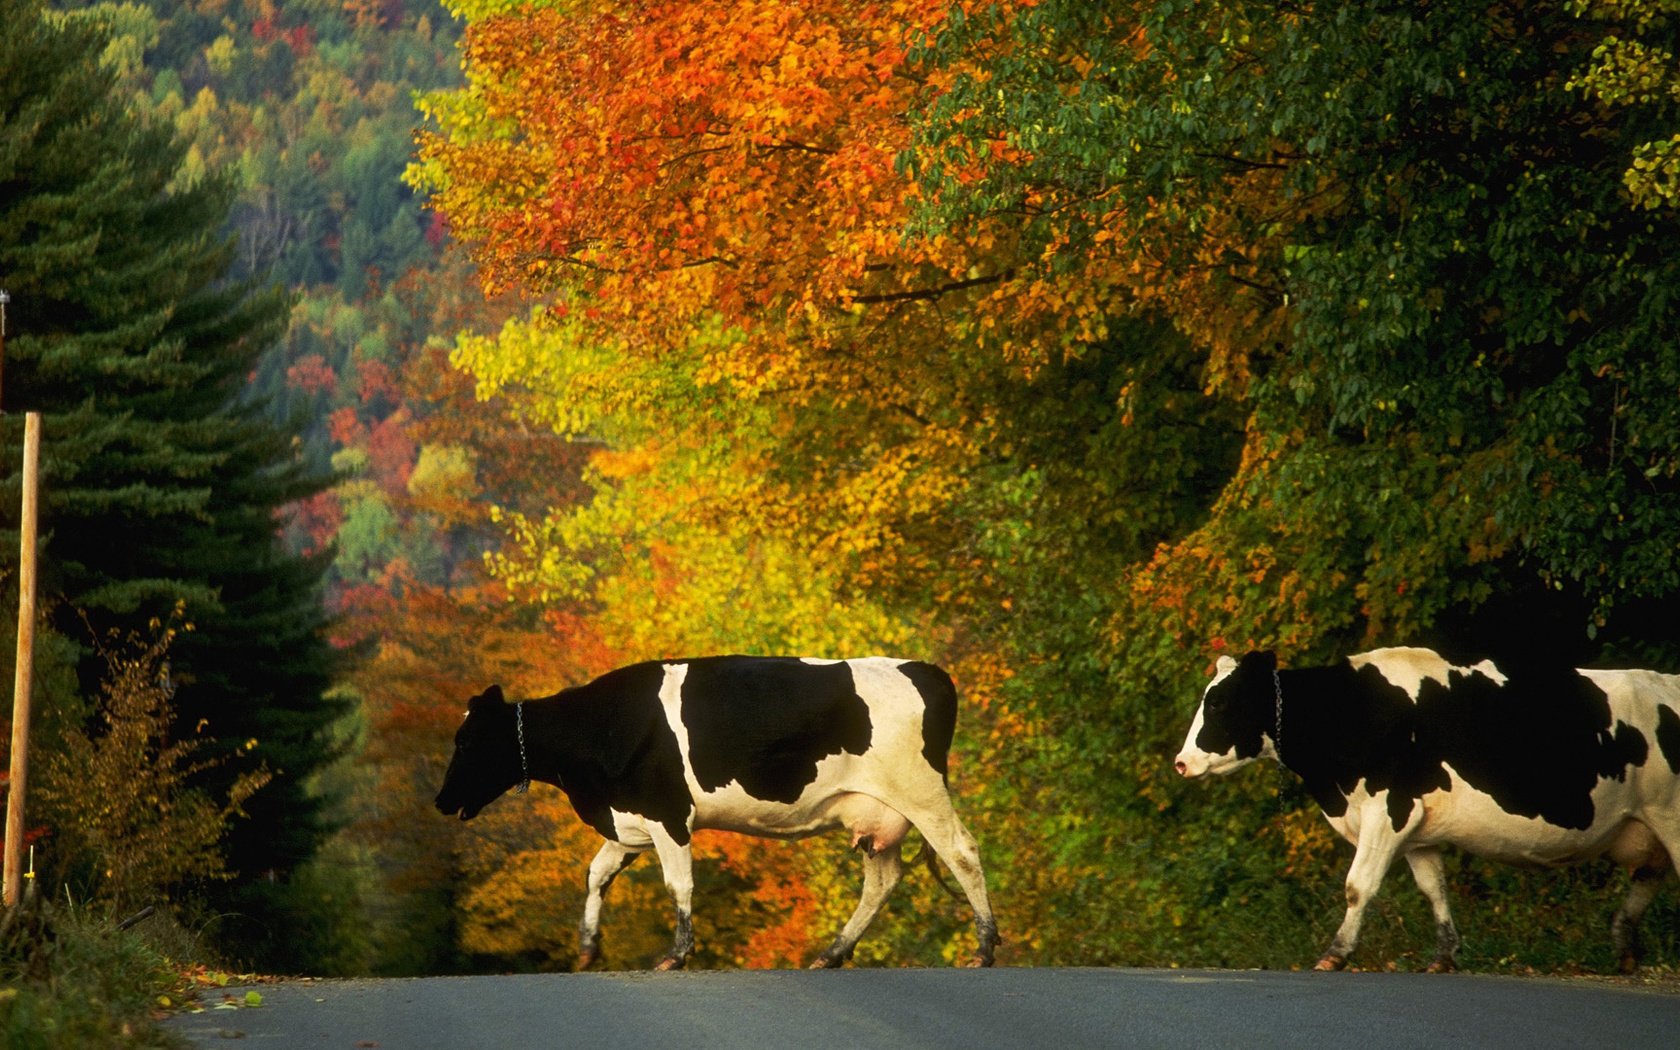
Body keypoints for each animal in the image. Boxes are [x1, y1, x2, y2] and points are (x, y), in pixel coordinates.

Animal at [433, 655, 994, 967]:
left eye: (466, 741)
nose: (440, 801)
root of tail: (927, 669)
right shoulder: (628, 820)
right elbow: (596, 874)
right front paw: (588, 945)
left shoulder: (667, 814)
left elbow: (678, 884)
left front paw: (676, 955)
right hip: (876, 816)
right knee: (882, 881)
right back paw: (832, 954)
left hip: (920, 789)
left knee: (962, 853)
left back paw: (985, 948)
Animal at [1176, 648, 1680, 974]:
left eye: (1219, 701)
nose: (1182, 762)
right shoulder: (1418, 828)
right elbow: (1433, 889)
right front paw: (1444, 955)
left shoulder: (1387, 809)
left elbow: (1357, 886)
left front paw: (1336, 953)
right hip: (1645, 824)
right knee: (1647, 879)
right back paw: (1624, 948)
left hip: (1669, 815)